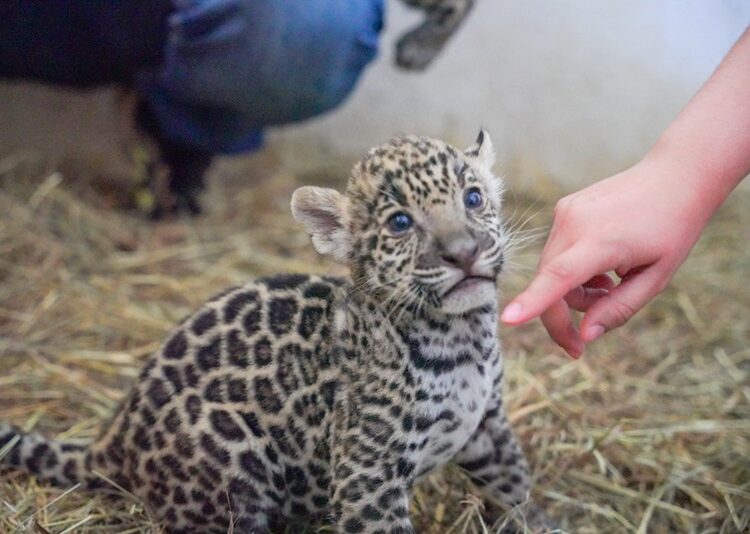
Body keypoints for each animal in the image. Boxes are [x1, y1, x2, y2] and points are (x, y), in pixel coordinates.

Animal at [0, 130, 535, 533]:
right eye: (401, 223)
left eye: (473, 198)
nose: (463, 252)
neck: (463, 339)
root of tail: (115, 437)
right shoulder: (368, 475)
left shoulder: (487, 425)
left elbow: (515, 485)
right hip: (231, 468)